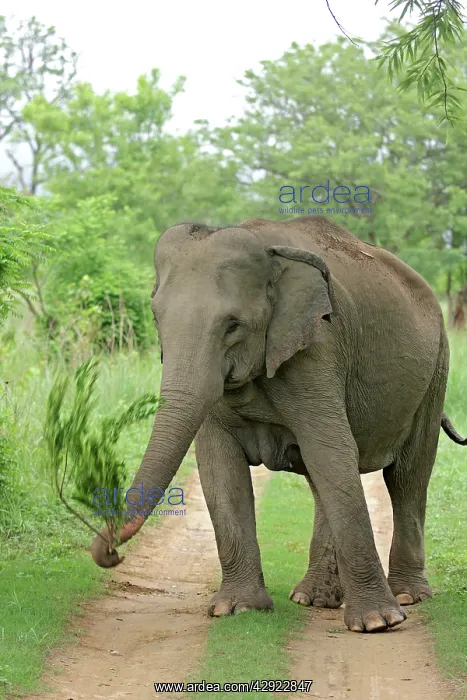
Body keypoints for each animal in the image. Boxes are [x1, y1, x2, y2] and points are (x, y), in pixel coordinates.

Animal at [91, 215, 466, 633]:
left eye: (233, 325)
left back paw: (407, 596)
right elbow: (220, 467)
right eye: (157, 318)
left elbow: (332, 451)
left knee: (406, 476)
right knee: (324, 479)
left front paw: (377, 622)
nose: (112, 554)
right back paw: (314, 598)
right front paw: (237, 609)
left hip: (436, 368)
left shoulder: (319, 347)